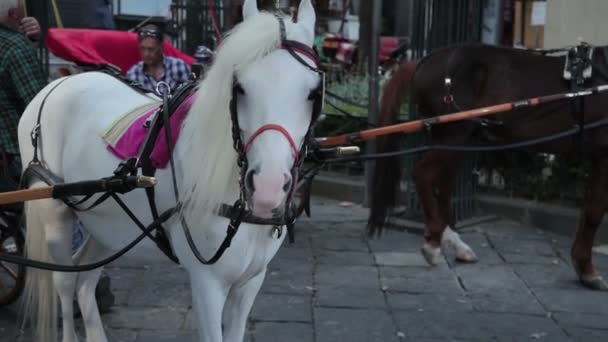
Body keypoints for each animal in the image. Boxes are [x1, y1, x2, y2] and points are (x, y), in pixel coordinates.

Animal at [17, 1, 324, 340]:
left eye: (313, 93)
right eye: (240, 88)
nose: (268, 187)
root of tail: (59, 82)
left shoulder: (250, 283)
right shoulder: (207, 283)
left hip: (109, 226)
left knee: (85, 281)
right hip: (53, 211)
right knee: (66, 281)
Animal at [368, 41, 608, 290]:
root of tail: (423, 60)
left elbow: (589, 209)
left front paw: (583, 266)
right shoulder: (604, 155)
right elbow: (595, 211)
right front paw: (587, 270)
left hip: (457, 140)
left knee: (443, 185)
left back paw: (455, 244)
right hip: (453, 134)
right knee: (423, 173)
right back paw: (433, 243)